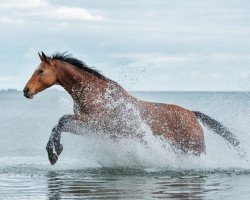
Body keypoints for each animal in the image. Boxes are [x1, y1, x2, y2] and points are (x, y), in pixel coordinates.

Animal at [23, 52, 242, 166]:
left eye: (41, 71)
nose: (26, 91)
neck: (96, 95)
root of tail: (193, 115)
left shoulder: (92, 123)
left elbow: (61, 121)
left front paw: (55, 153)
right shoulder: (90, 128)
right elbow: (58, 125)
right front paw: (54, 153)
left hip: (194, 150)